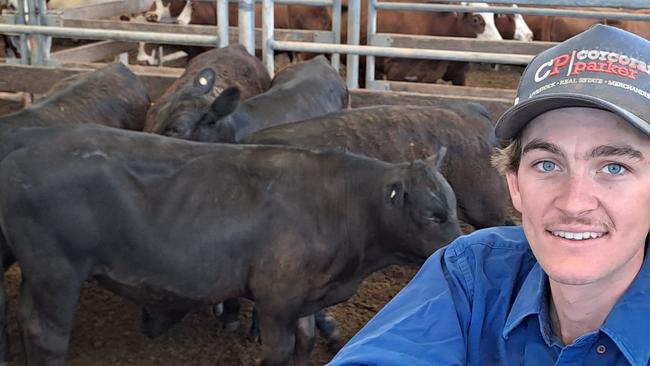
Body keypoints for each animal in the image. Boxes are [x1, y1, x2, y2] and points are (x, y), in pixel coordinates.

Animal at [0, 123, 460, 366]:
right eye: (431, 215)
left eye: (453, 207)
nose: (458, 245)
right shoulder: (276, 297)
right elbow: (280, 352)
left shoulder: (303, 297)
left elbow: (306, 342)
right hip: (57, 271)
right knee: (47, 333)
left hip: (37, 271)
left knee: (23, 317)